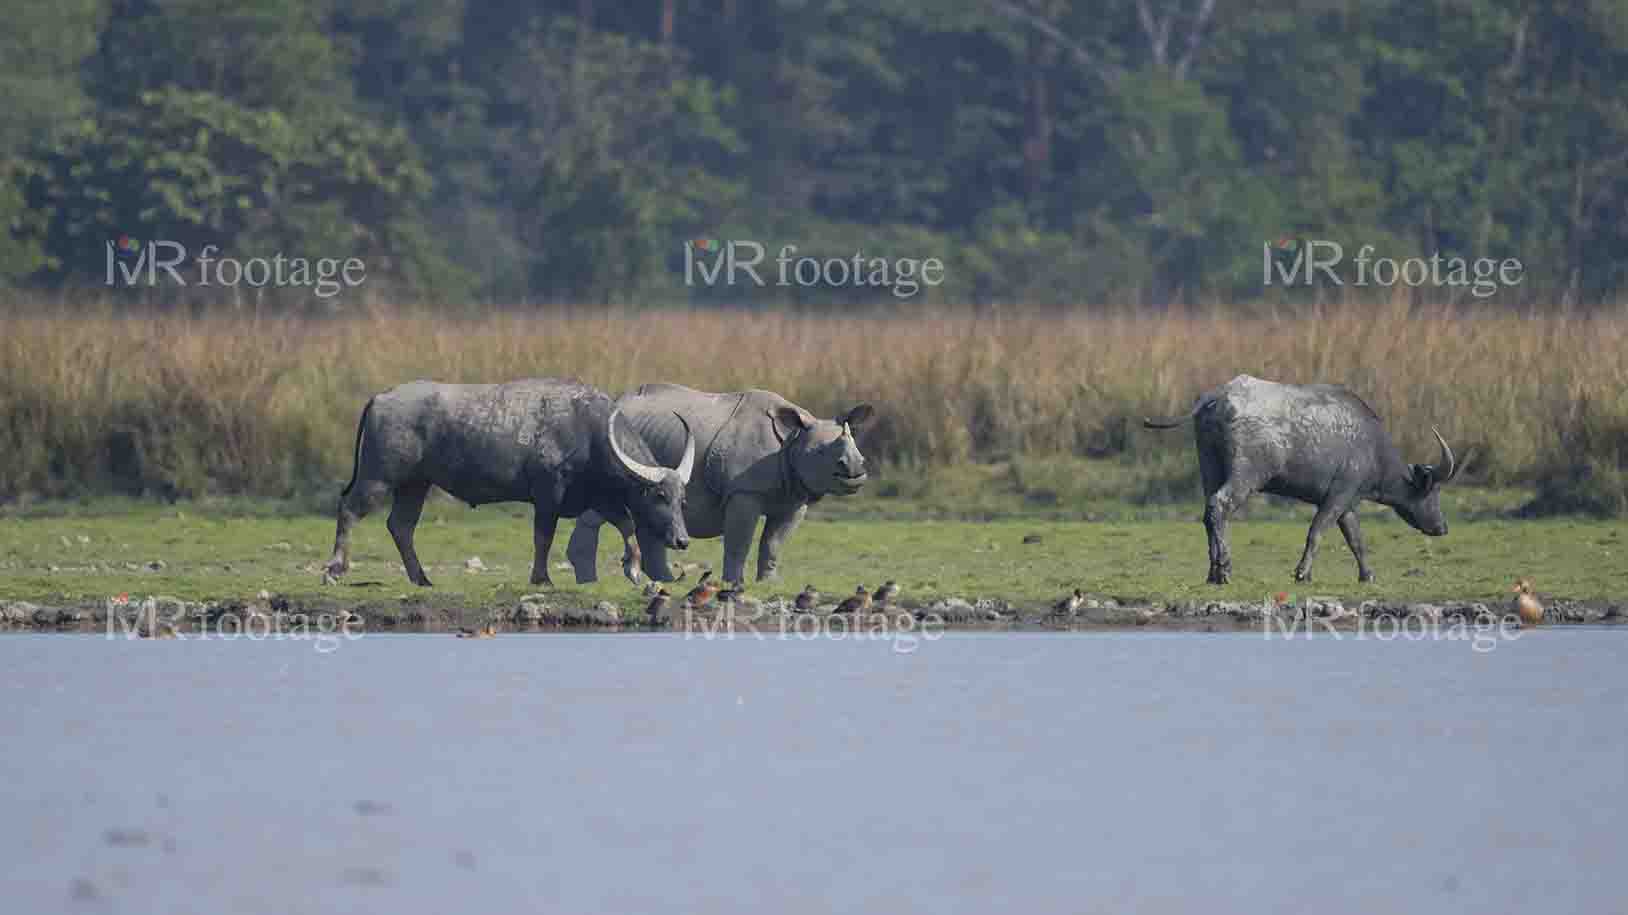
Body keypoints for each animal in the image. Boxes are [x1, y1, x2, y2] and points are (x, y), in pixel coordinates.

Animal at [322, 376, 693, 582]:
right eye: (659, 496)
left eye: (681, 499)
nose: (682, 540)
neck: (588, 431)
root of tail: (380, 397)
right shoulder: (548, 495)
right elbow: (543, 537)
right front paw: (541, 578)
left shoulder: (598, 498)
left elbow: (627, 525)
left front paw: (633, 568)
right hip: (378, 477)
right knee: (349, 509)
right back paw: (335, 569)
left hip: (415, 485)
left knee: (400, 526)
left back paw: (422, 578)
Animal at [566, 380, 872, 579]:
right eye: (819, 452)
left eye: (857, 447)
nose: (855, 468)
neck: (793, 439)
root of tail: (616, 403)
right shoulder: (743, 491)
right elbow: (739, 541)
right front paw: (734, 585)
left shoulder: (796, 496)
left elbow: (774, 543)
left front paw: (769, 584)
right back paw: (588, 581)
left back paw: (665, 582)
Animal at [1146, 372, 1465, 579]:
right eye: (1433, 492)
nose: (1443, 527)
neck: (1373, 448)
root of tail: (1217, 396)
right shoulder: (1338, 496)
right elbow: (1317, 531)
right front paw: (1302, 573)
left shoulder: (1347, 504)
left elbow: (1356, 539)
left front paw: (1367, 575)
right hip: (1245, 475)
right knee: (1220, 505)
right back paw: (1224, 569)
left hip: (1209, 467)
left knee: (1209, 512)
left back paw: (1213, 572)